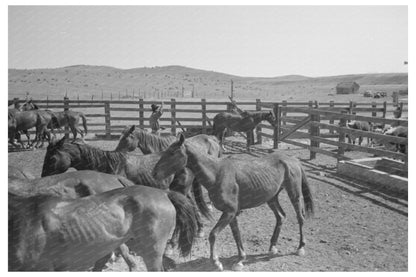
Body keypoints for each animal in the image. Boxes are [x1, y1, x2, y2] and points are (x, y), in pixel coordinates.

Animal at [153, 134, 316, 270]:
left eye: (172, 153)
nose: (155, 173)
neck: (217, 173)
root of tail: (293, 160)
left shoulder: (230, 212)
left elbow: (213, 235)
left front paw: (216, 262)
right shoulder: (232, 213)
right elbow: (236, 234)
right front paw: (240, 260)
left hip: (294, 194)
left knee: (300, 218)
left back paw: (300, 247)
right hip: (271, 198)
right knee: (281, 217)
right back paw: (272, 247)